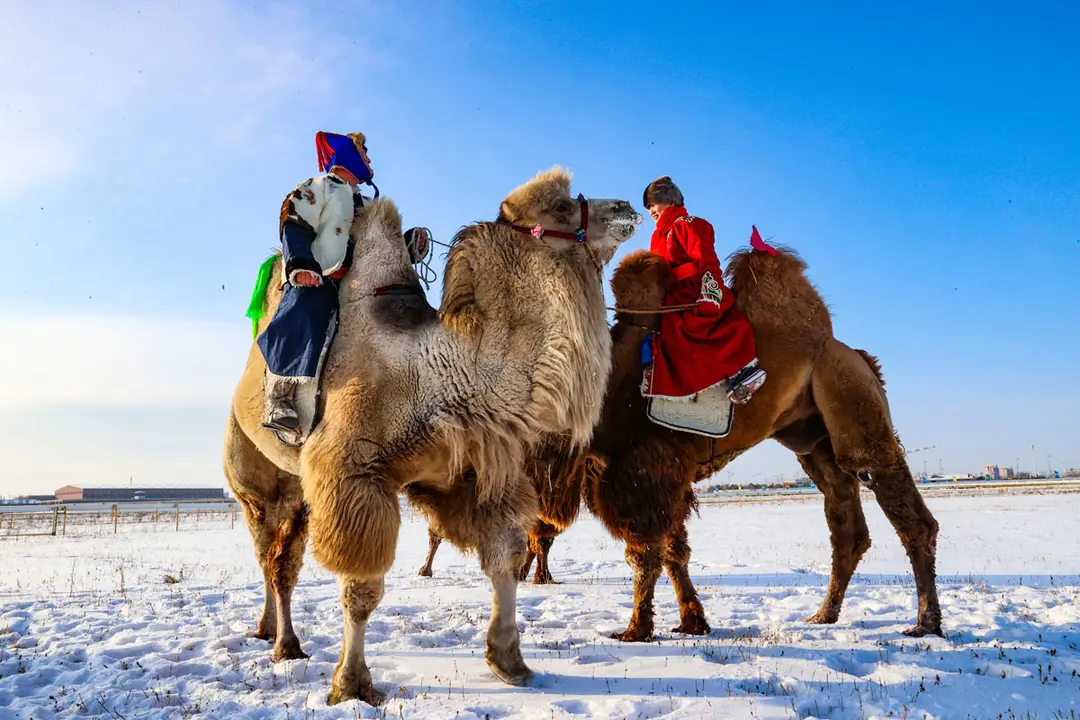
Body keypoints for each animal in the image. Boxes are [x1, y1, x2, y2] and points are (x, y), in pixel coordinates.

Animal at [224, 168, 640, 705]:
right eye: (563, 208)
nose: (627, 206)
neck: (440, 370)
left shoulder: (475, 472)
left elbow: (506, 559)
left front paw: (510, 662)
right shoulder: (354, 473)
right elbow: (362, 588)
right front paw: (352, 686)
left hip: (297, 489)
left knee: (282, 559)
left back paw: (275, 636)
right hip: (253, 477)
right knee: (268, 553)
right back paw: (281, 642)